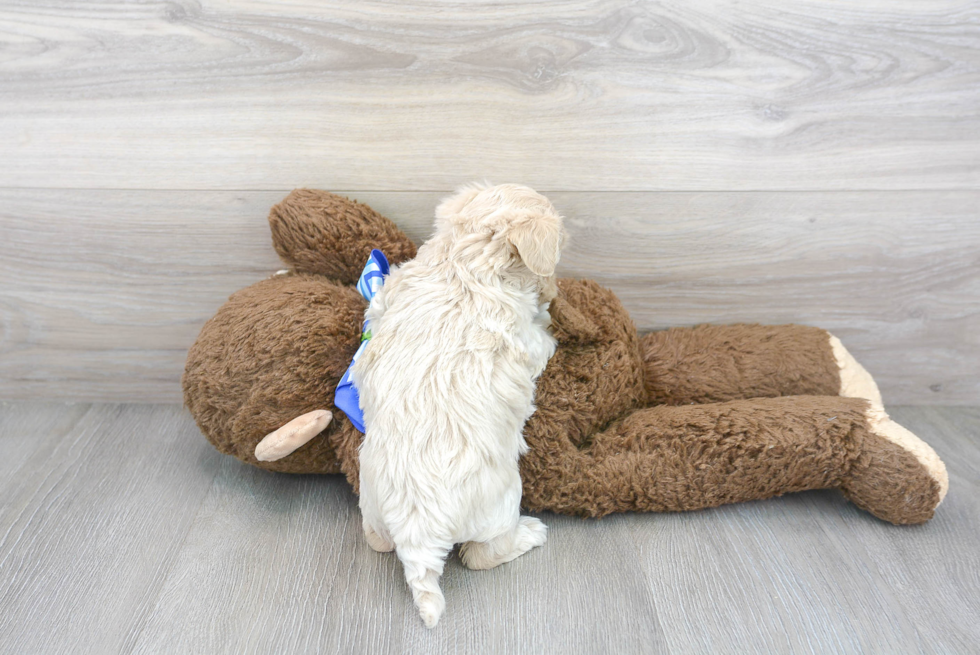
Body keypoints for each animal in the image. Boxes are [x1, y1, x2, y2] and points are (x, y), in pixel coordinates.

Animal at [352, 182, 568, 628]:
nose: (555, 290)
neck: (462, 262)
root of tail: (418, 533)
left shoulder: (389, 295)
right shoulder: (529, 341)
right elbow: (544, 337)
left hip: (372, 502)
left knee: (377, 540)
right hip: (501, 504)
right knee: (480, 555)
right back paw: (530, 533)